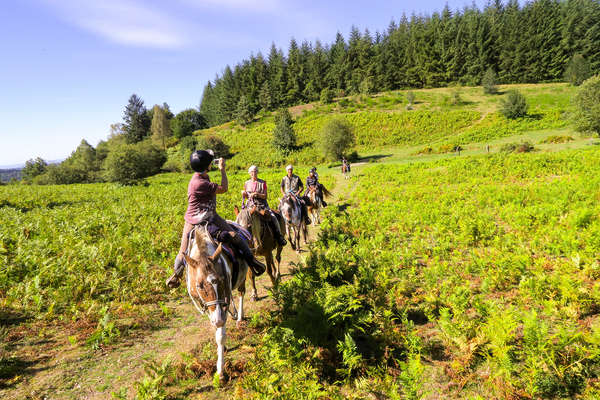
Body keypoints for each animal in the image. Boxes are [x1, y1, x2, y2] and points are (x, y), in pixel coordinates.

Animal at [184, 227, 247, 380]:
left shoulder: (224, 303)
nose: (219, 320)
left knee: (242, 292)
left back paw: (240, 319)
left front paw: (220, 371)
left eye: (222, 279)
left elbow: (220, 337)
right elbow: (214, 326)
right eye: (199, 286)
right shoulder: (208, 306)